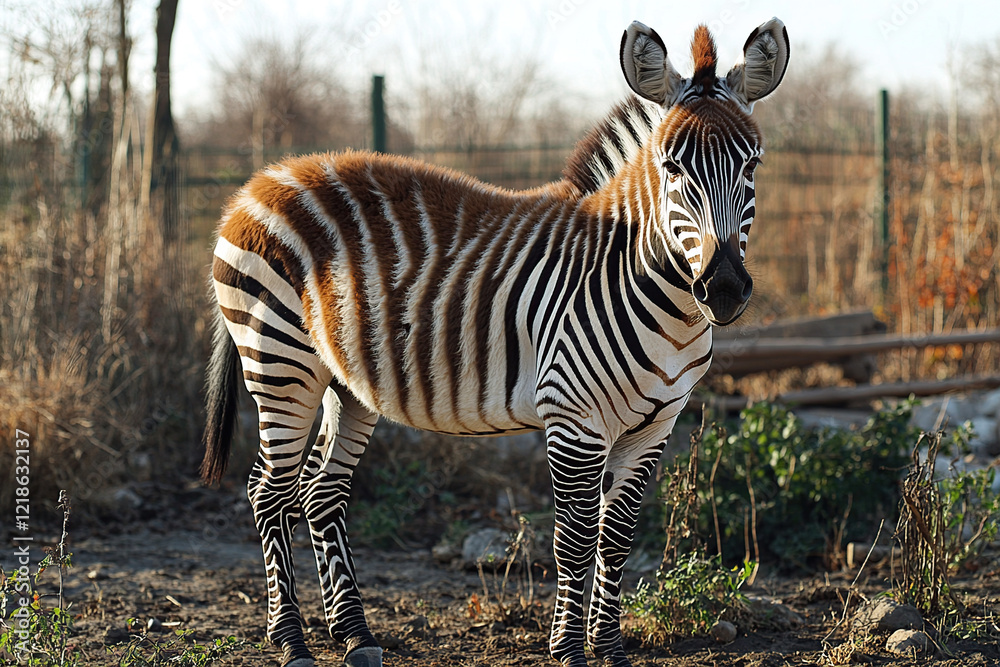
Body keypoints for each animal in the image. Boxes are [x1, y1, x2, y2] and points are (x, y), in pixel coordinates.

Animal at [201, 18, 788, 667]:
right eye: (672, 167)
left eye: (753, 165)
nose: (725, 288)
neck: (656, 296)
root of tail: (259, 180)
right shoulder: (572, 418)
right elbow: (576, 540)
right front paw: (569, 650)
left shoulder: (655, 426)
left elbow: (615, 539)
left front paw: (608, 648)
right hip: (280, 362)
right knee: (267, 493)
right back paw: (291, 641)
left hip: (345, 381)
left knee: (319, 492)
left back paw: (354, 635)